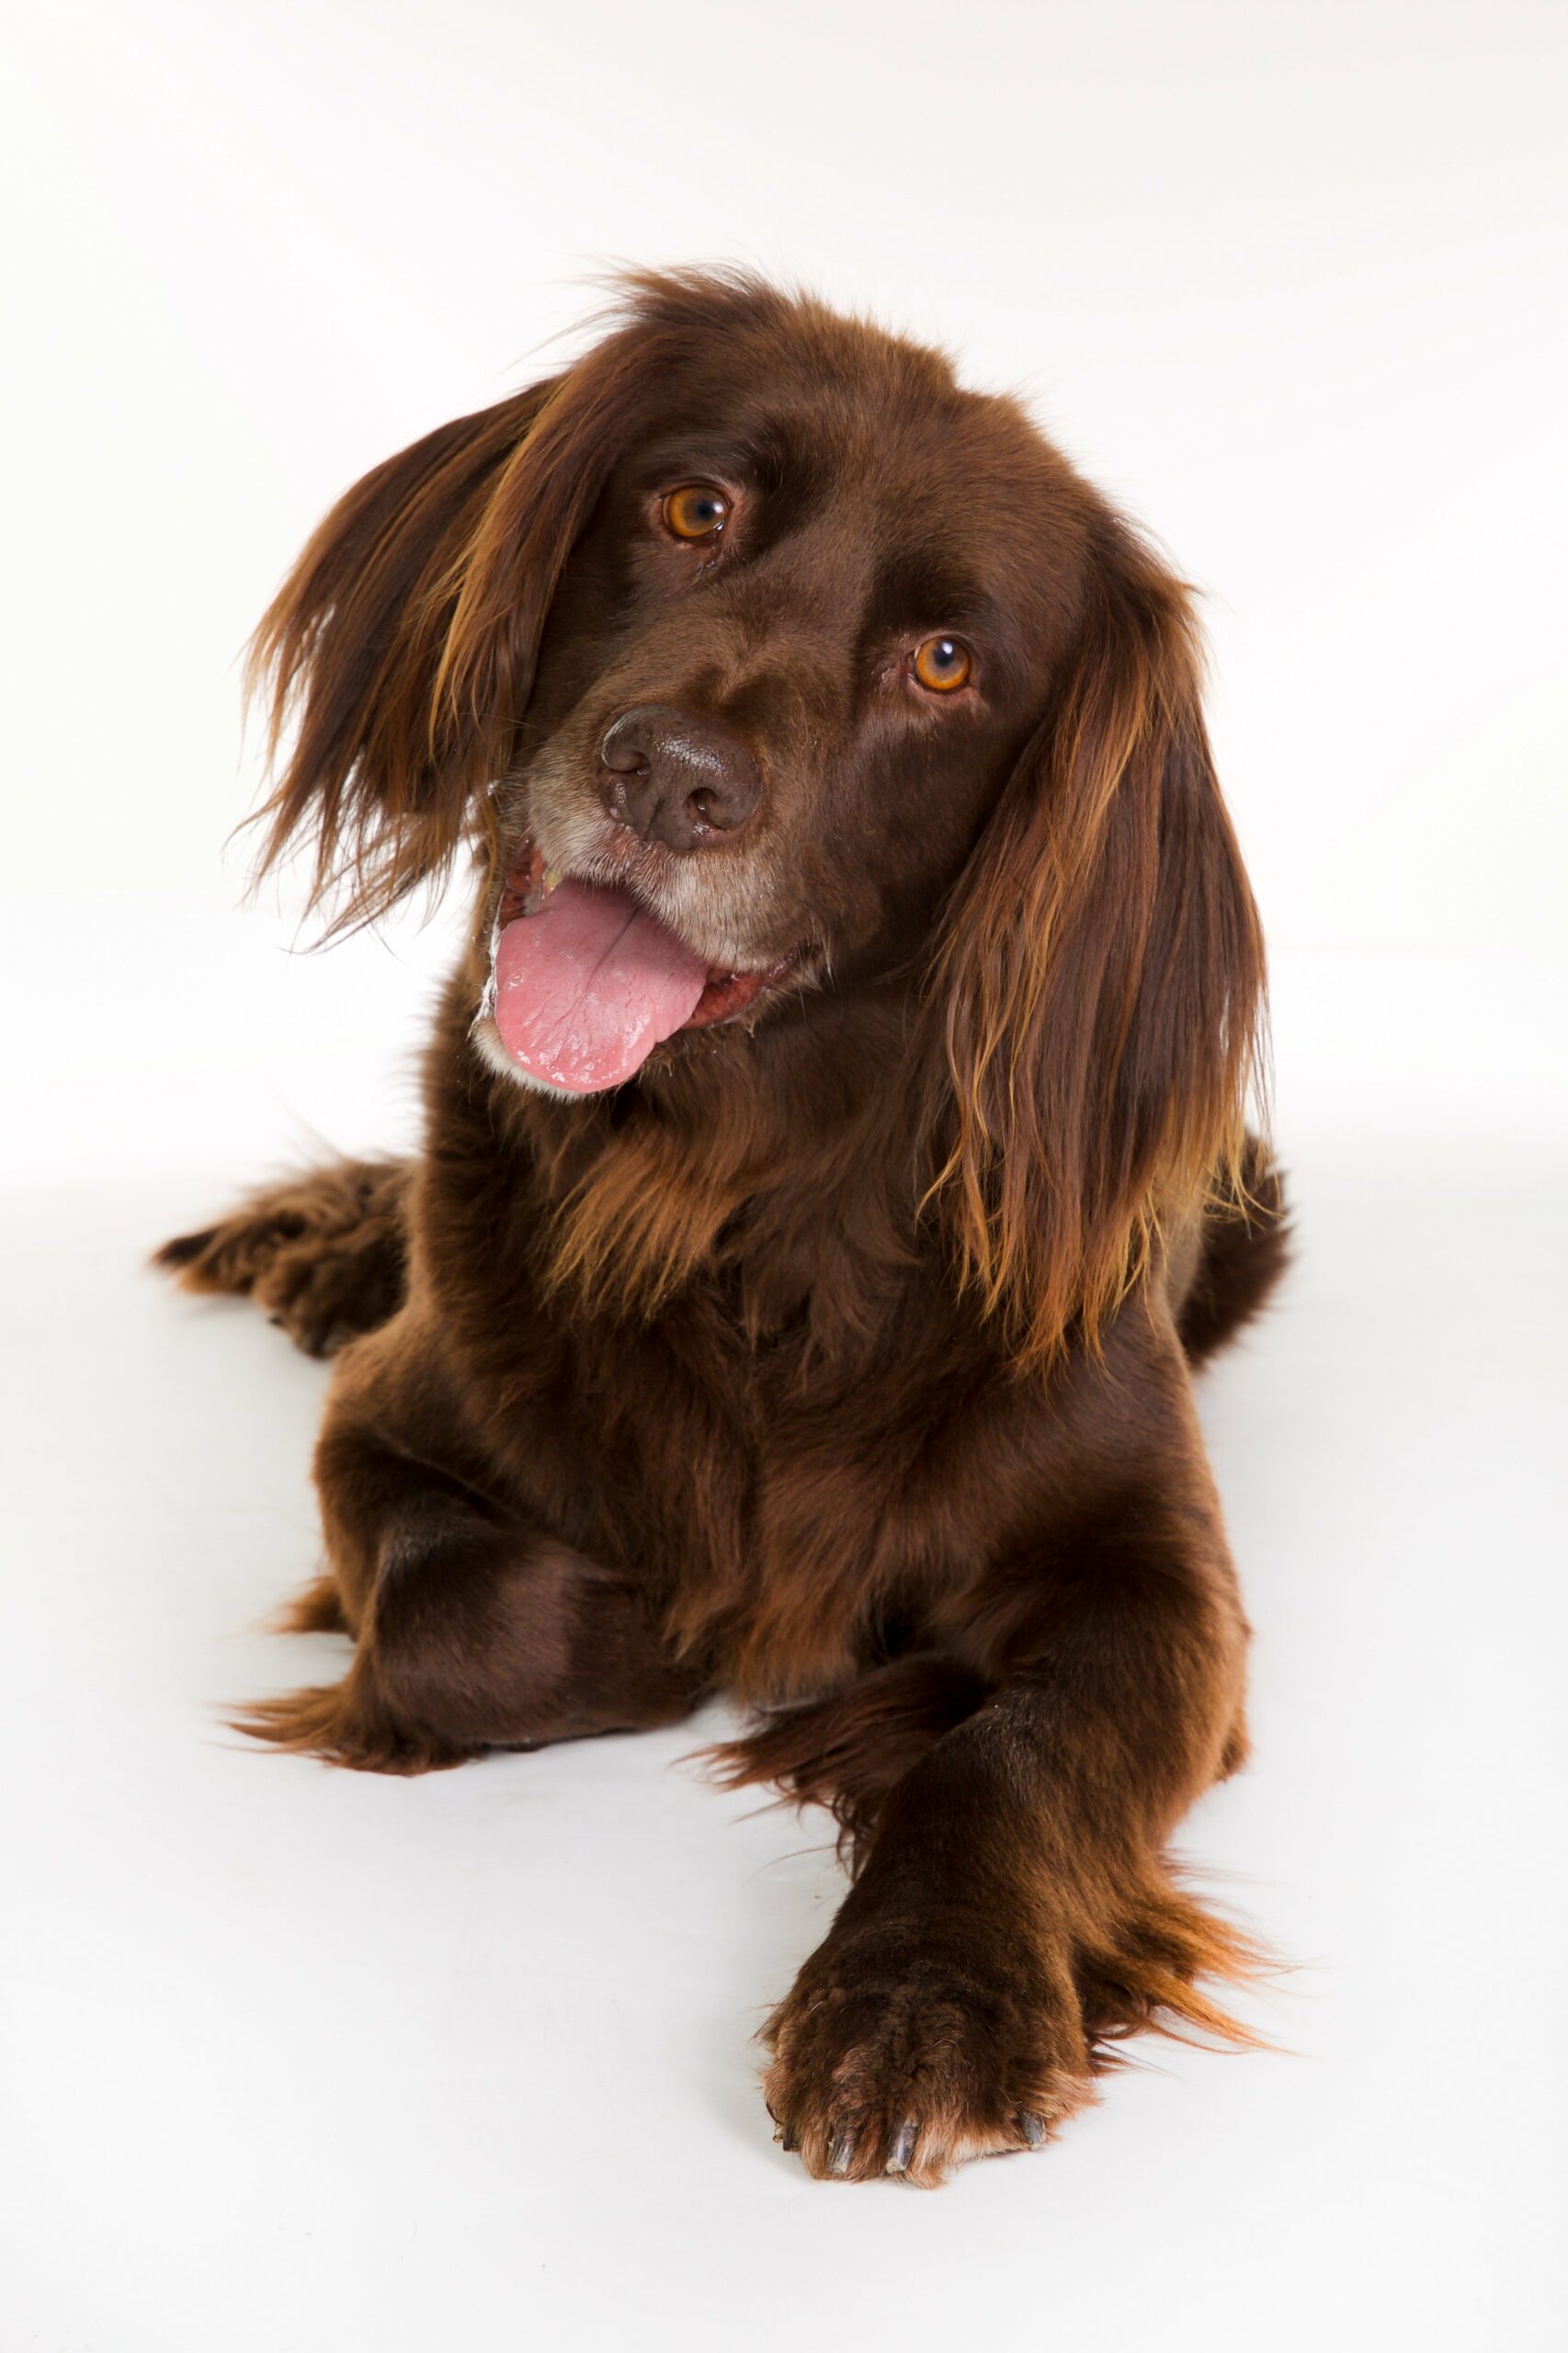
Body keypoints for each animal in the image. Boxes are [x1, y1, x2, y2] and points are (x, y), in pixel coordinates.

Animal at [158, 270, 1280, 2183]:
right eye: (695, 508)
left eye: (945, 664)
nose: (669, 776)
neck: (746, 1210)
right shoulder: (388, 1421)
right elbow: (465, 1613)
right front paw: (661, 1635)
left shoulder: (1163, 1579)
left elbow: (1021, 1751)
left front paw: (923, 1997)